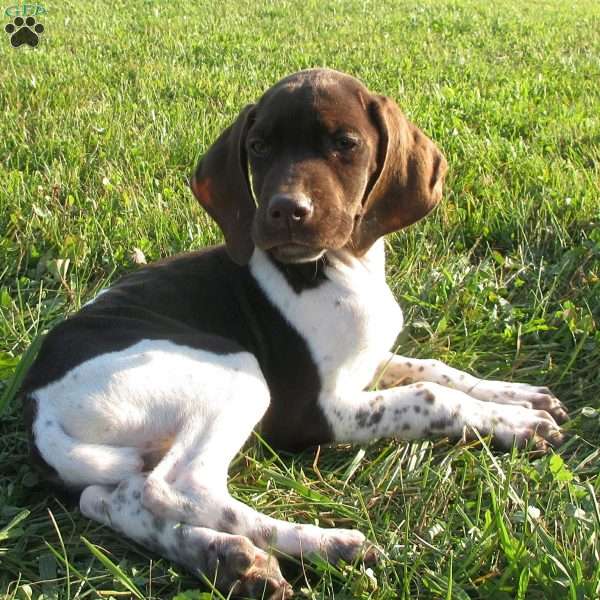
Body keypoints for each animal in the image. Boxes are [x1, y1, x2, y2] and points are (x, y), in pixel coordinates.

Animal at [22, 68, 568, 596]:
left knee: (117, 499)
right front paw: (515, 423)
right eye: (259, 147)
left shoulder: (369, 363)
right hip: (237, 370)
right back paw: (325, 544)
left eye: (345, 143)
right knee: (175, 486)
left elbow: (437, 370)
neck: (345, 267)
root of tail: (39, 409)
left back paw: (229, 559)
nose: (287, 209)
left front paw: (518, 396)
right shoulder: (313, 411)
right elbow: (430, 396)